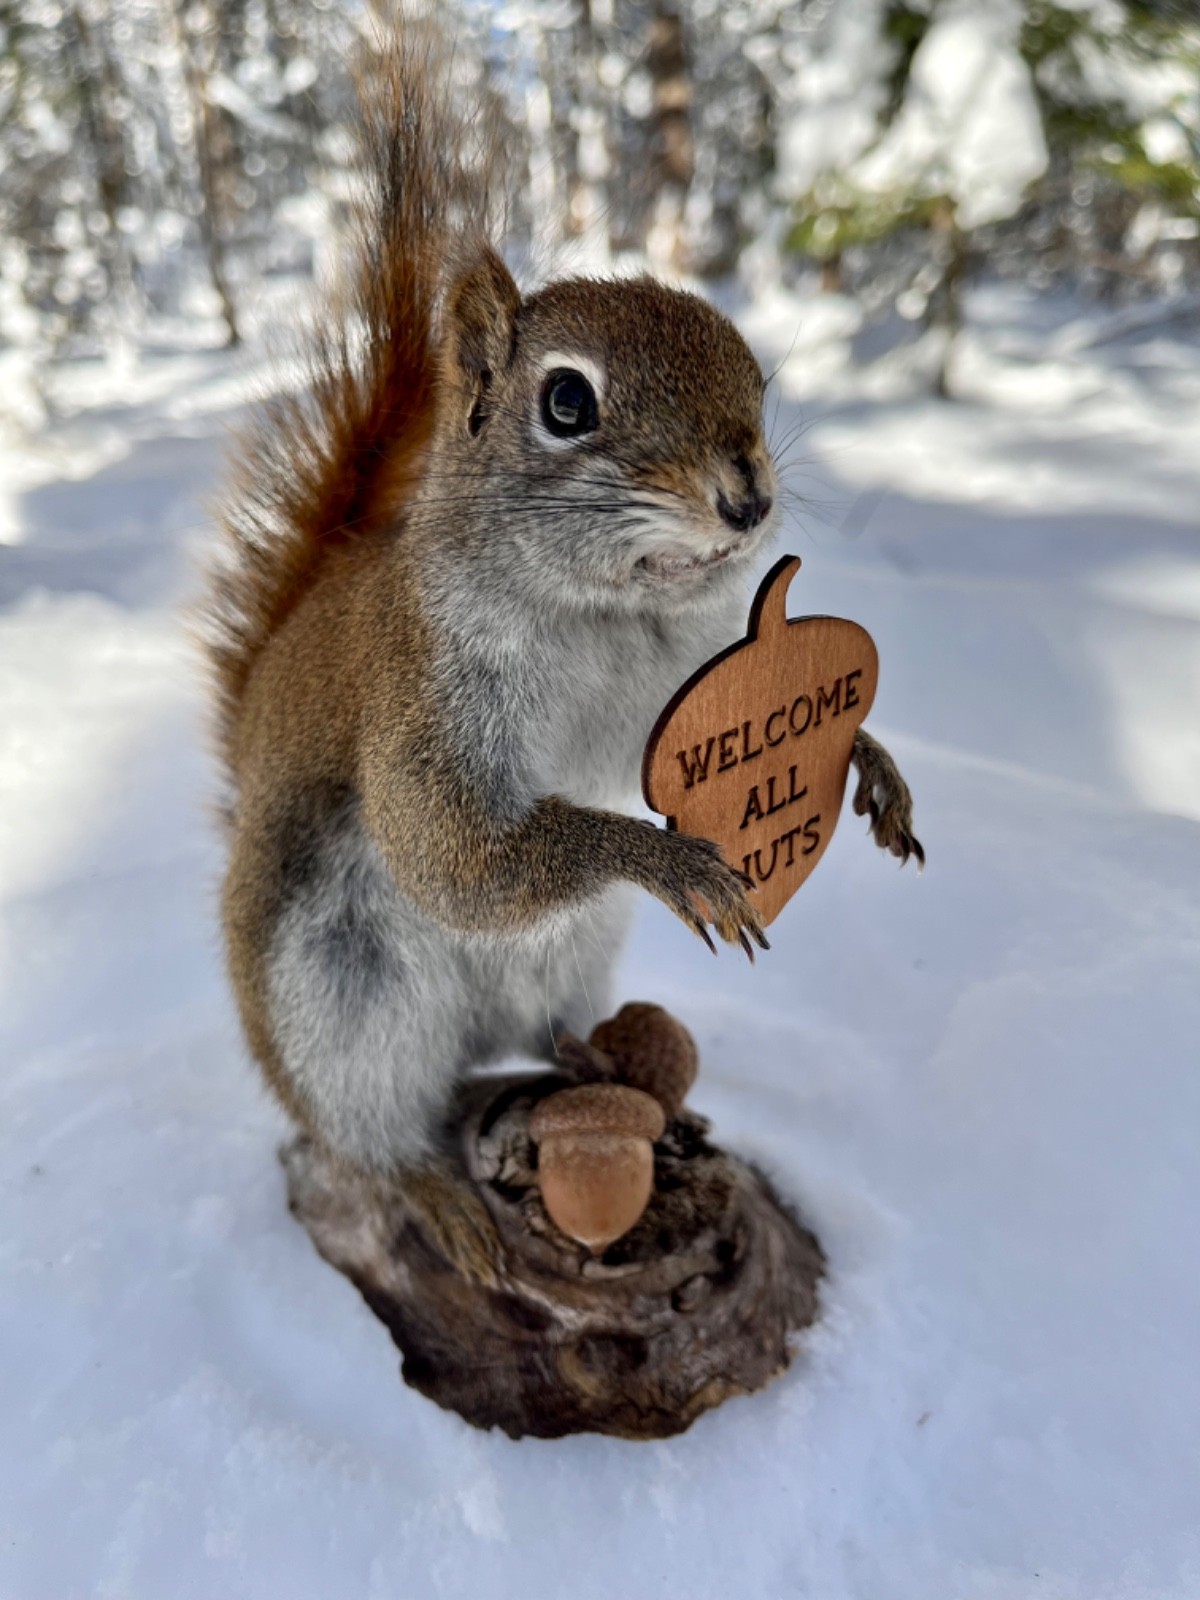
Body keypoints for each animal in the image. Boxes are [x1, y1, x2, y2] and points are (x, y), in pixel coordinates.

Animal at [206, 38, 922, 1281]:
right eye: (569, 401)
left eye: (756, 379)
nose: (749, 499)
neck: (609, 613)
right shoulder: (423, 693)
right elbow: (455, 852)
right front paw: (668, 857)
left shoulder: (675, 697)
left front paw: (870, 757)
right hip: (335, 1001)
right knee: (366, 1129)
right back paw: (432, 1192)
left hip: (568, 954)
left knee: (539, 1031)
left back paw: (598, 1068)